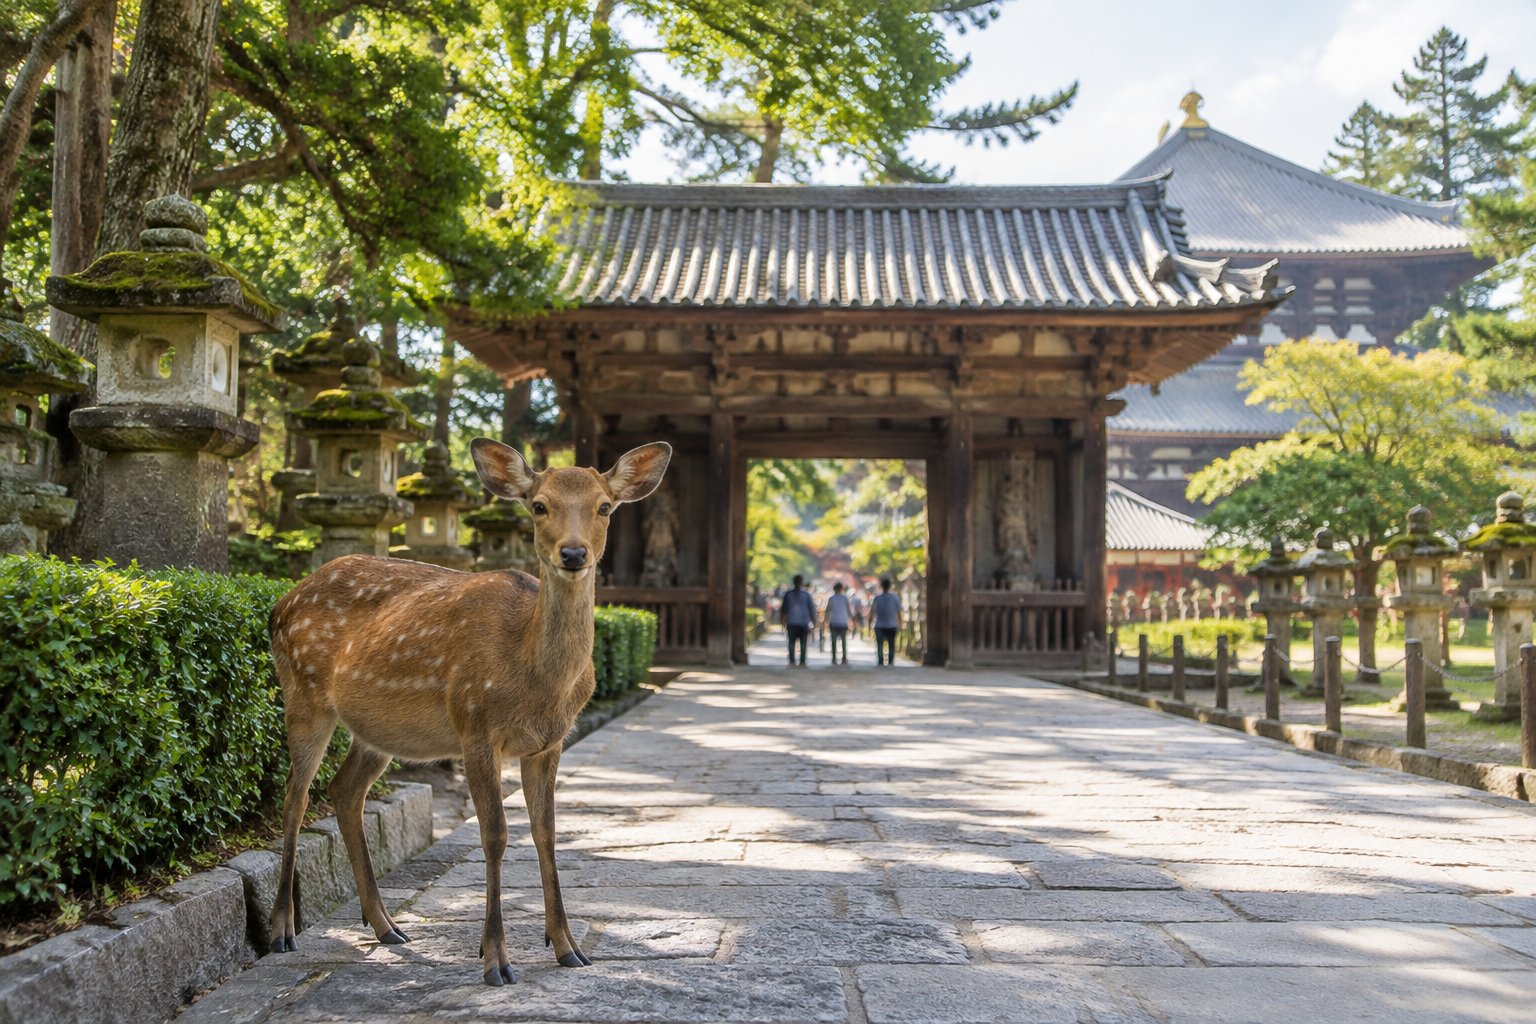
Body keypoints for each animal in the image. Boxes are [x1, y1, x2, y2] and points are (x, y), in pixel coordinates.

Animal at [266, 438, 671, 986]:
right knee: (295, 797)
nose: (572, 553)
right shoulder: (475, 723)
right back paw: (282, 930)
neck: (536, 682)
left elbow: (546, 832)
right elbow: (495, 835)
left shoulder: (550, 741)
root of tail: (278, 605)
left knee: (344, 791)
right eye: (538, 505)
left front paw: (566, 947)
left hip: (377, 731)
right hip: (304, 693)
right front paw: (495, 959)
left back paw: (386, 926)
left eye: (605, 507)